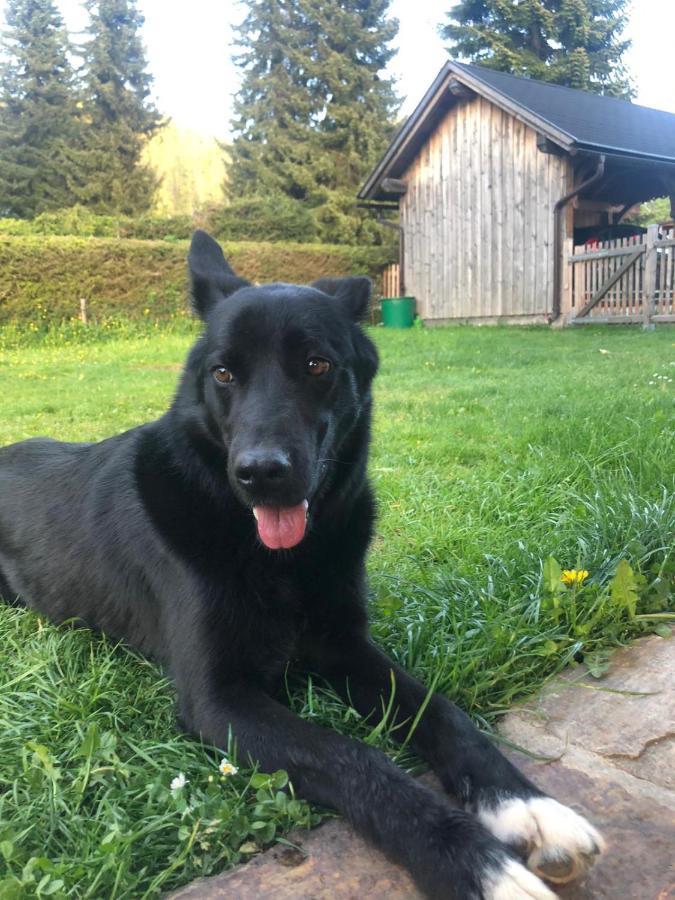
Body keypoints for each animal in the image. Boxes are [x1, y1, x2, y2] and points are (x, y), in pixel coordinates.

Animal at [0, 234, 604, 900]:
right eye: (223, 373)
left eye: (317, 365)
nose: (260, 474)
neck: (281, 557)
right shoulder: (219, 700)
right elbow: (355, 757)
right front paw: (475, 864)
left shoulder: (344, 647)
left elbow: (443, 712)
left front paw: (528, 806)